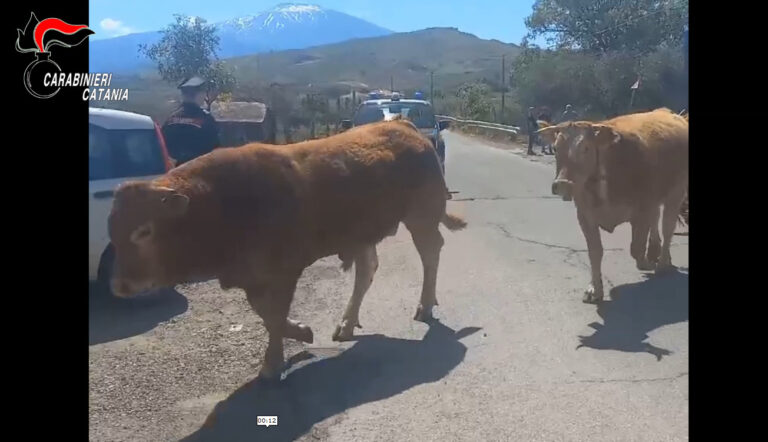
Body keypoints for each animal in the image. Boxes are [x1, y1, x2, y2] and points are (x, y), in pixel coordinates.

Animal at [106, 118, 468, 380]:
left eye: (144, 231)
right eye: (112, 232)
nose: (119, 285)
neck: (223, 202)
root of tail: (405, 126)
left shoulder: (284, 270)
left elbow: (276, 315)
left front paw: (274, 361)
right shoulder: (252, 277)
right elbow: (267, 314)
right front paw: (300, 334)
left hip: (421, 217)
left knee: (430, 254)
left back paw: (425, 305)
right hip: (362, 233)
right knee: (366, 270)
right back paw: (347, 323)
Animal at [536, 109, 688, 306]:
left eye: (586, 148)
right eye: (555, 148)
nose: (562, 184)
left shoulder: (642, 210)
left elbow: (636, 248)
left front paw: (646, 262)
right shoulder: (585, 216)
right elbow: (595, 252)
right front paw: (594, 289)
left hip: (676, 193)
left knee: (667, 227)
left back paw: (662, 263)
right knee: (656, 220)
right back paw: (656, 252)